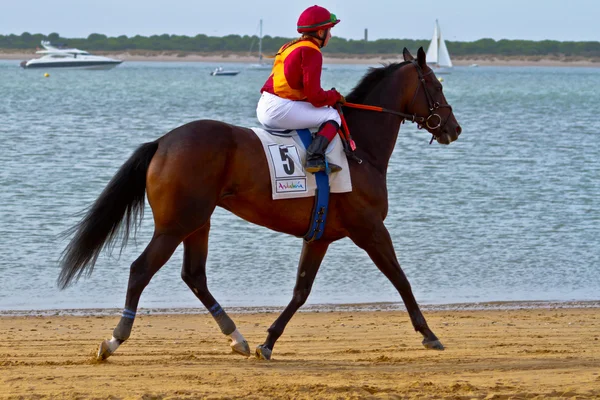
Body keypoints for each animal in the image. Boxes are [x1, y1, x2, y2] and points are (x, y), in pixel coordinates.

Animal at [59, 46, 464, 360]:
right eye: (437, 85)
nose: (454, 128)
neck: (360, 150)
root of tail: (163, 142)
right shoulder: (370, 229)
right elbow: (400, 279)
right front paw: (429, 334)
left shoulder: (320, 236)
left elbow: (301, 290)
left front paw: (268, 342)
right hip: (176, 224)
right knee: (141, 270)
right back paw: (114, 340)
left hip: (198, 222)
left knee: (194, 275)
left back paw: (236, 337)